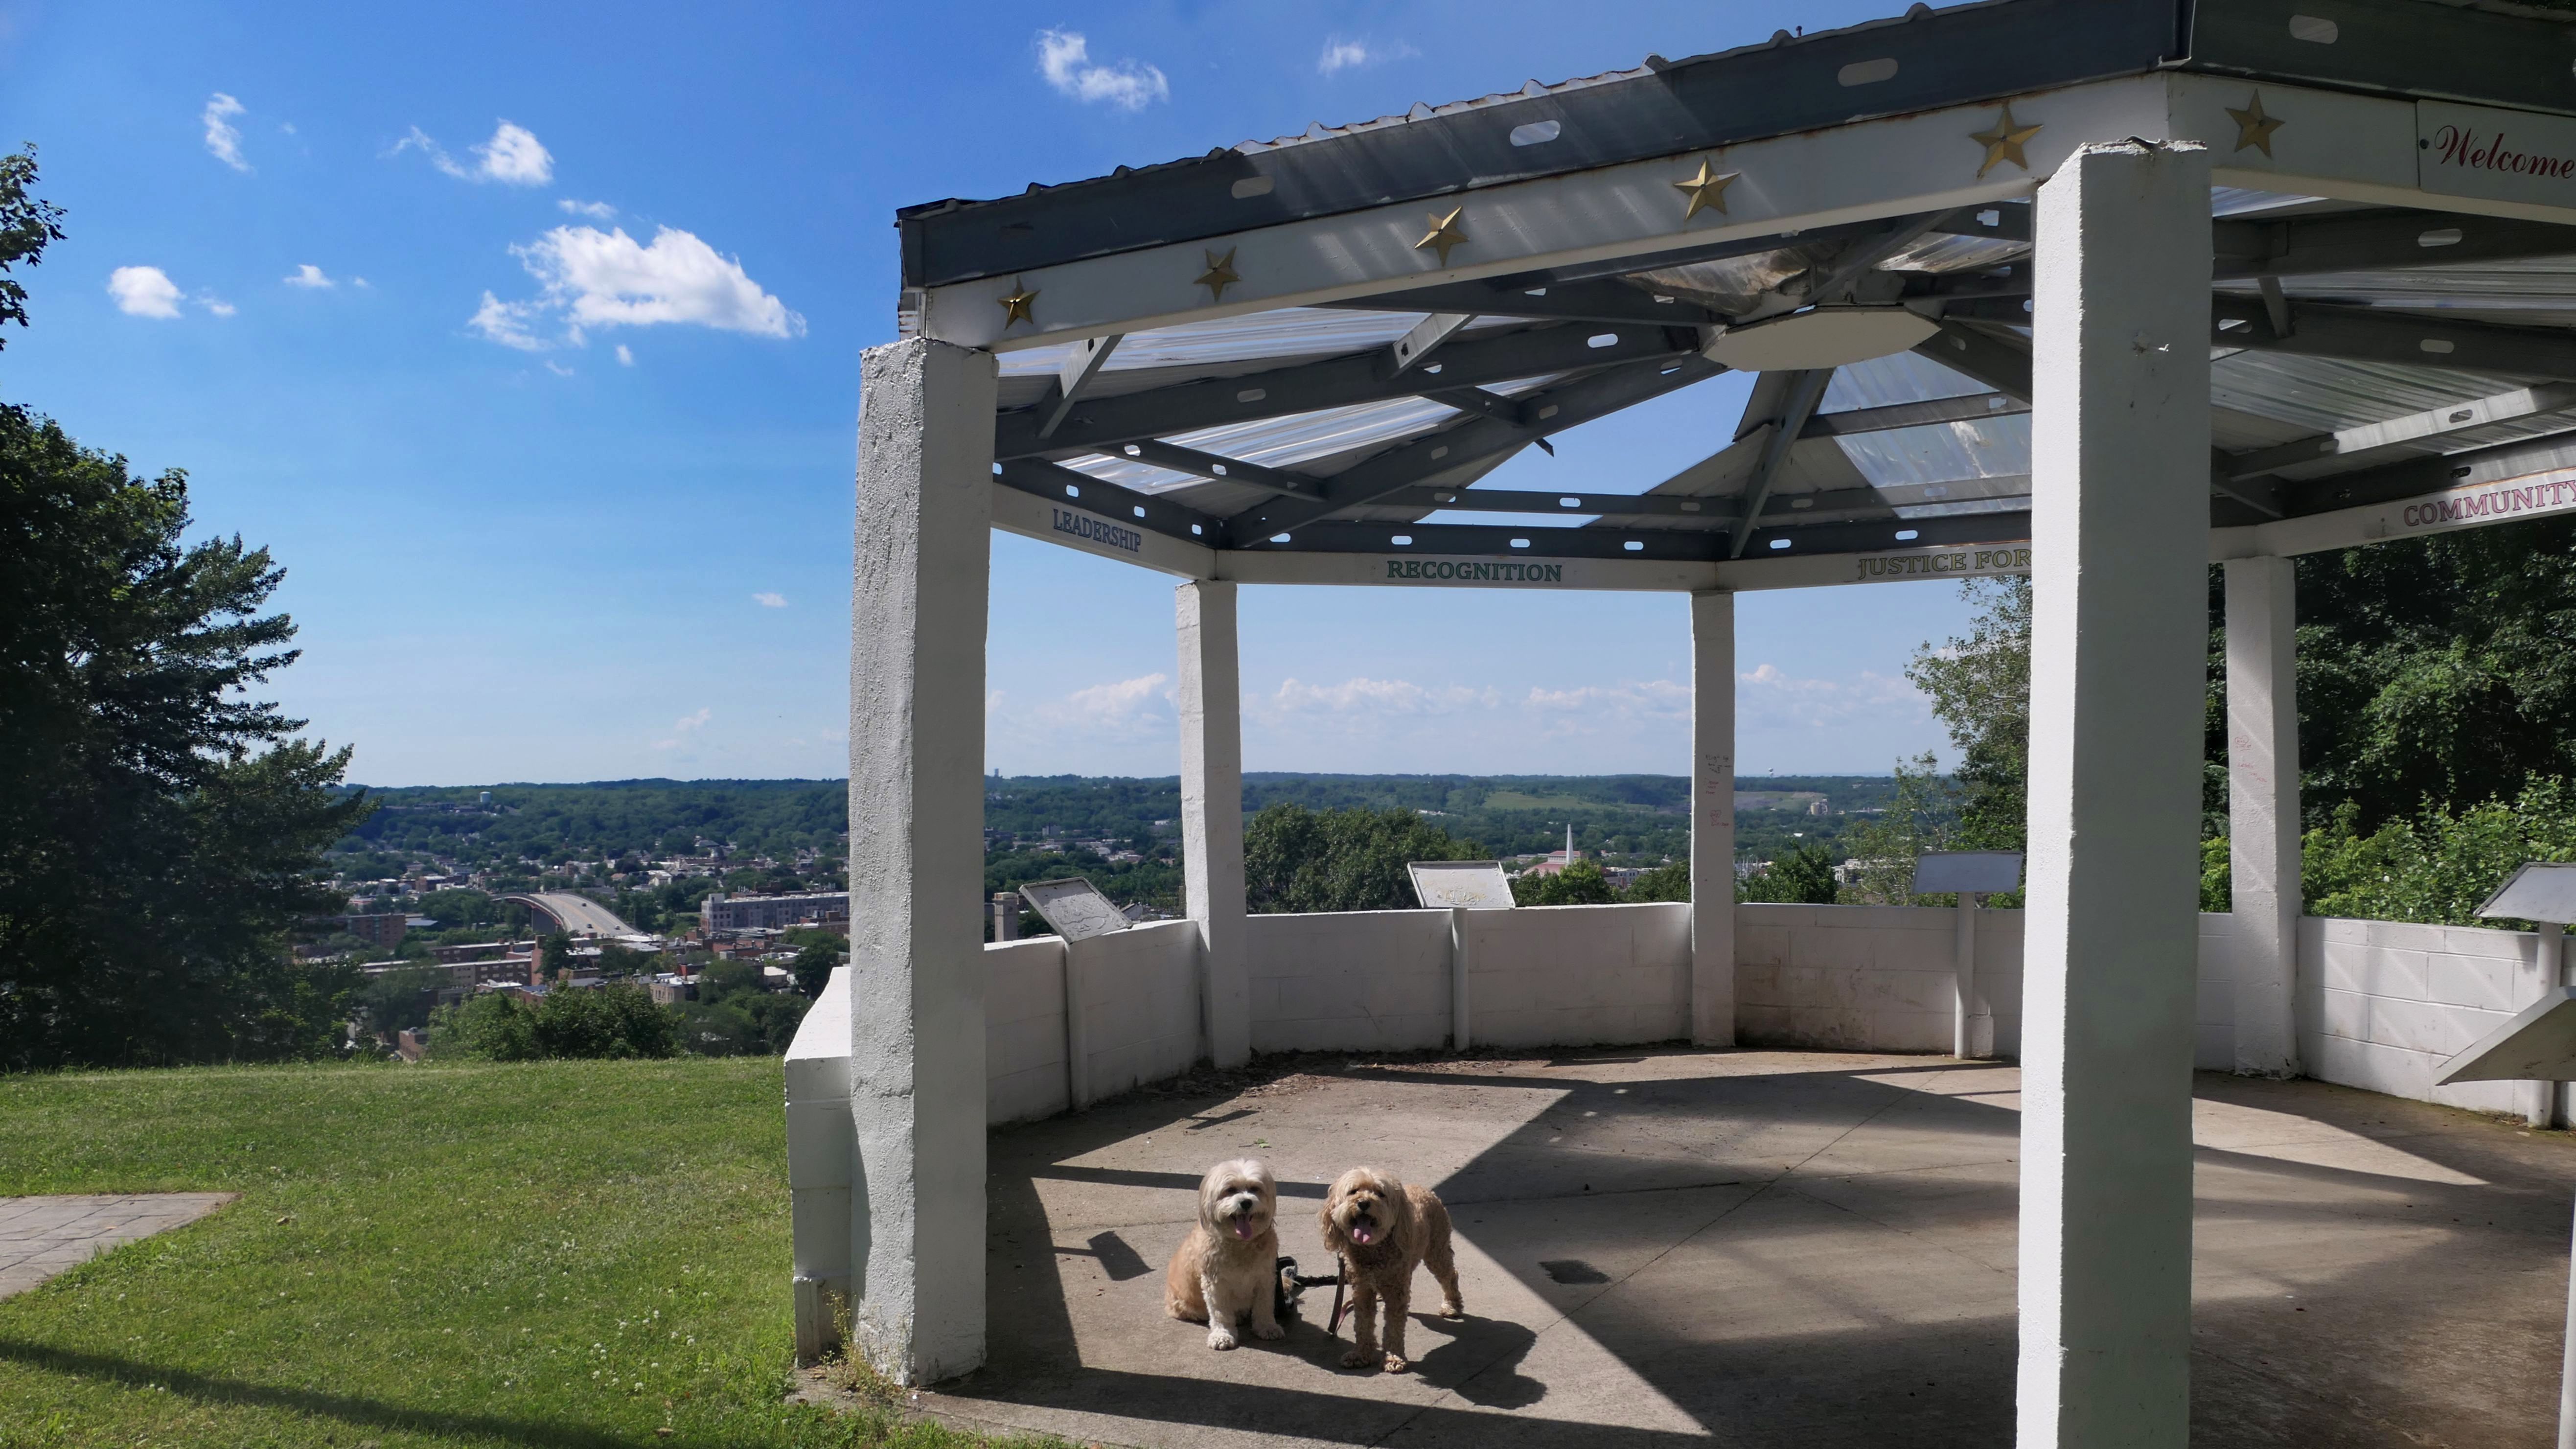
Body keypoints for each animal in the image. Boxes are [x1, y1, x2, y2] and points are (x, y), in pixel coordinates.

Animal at [1165, 1158, 1285, 1350]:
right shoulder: (1216, 1284)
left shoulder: (1265, 1278)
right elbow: (1220, 1313)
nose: (1246, 1202)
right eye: (1230, 1190)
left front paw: (1267, 1327)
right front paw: (1223, 1335)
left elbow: (1264, 1306)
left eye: (1254, 1189)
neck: (1240, 1244)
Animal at [1317, 1166, 1464, 1372]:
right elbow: (1363, 1324)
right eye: (1353, 1191)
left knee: (1450, 1276)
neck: (1373, 1249)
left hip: (1436, 1251)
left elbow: (1394, 1327)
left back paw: (1452, 1306)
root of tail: (1424, 1189)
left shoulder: (1396, 1292)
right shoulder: (1362, 1290)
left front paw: (1394, 1357)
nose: (1364, 1203)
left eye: (1380, 1193)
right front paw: (1360, 1354)